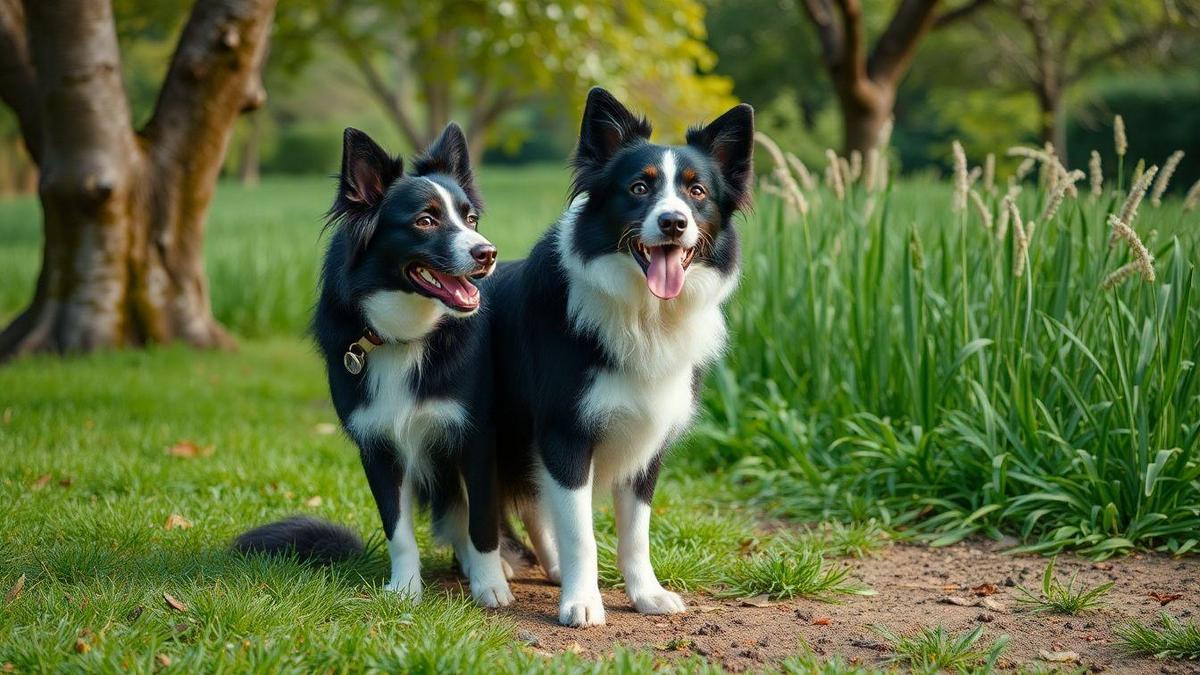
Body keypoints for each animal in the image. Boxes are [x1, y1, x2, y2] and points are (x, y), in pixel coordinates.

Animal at [235, 123, 516, 607]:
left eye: (470, 220)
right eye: (425, 220)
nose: (488, 253)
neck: (404, 338)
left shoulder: (475, 438)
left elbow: (482, 522)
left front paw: (490, 585)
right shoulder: (378, 445)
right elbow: (397, 529)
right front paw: (404, 590)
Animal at [484, 89, 748, 624]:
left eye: (697, 192)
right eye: (639, 187)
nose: (673, 223)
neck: (643, 313)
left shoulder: (649, 440)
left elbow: (635, 534)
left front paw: (646, 594)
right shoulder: (565, 434)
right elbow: (581, 532)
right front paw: (583, 602)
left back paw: (552, 568)